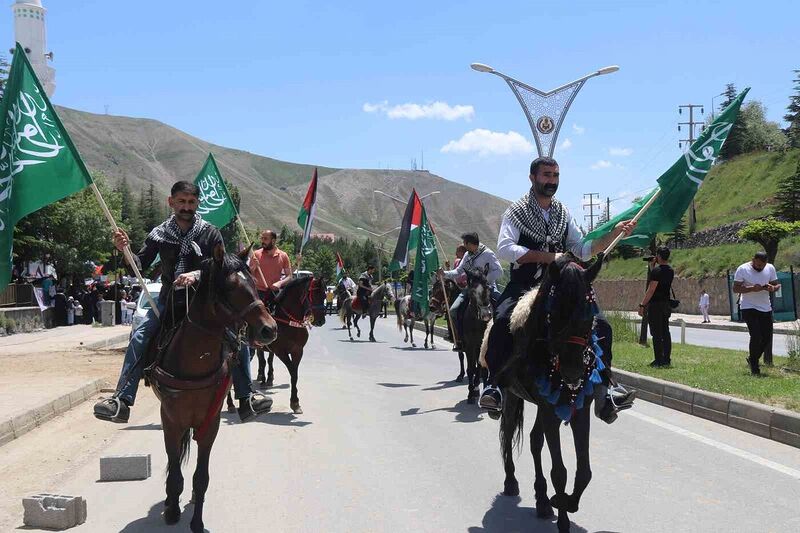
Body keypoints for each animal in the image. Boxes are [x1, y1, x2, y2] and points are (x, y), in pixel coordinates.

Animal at [148, 246, 276, 532]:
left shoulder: (211, 423)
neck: (195, 360)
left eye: (254, 283)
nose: (269, 329)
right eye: (230, 287)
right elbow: (175, 468)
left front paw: (197, 521)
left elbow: (201, 477)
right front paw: (172, 510)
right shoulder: (170, 420)